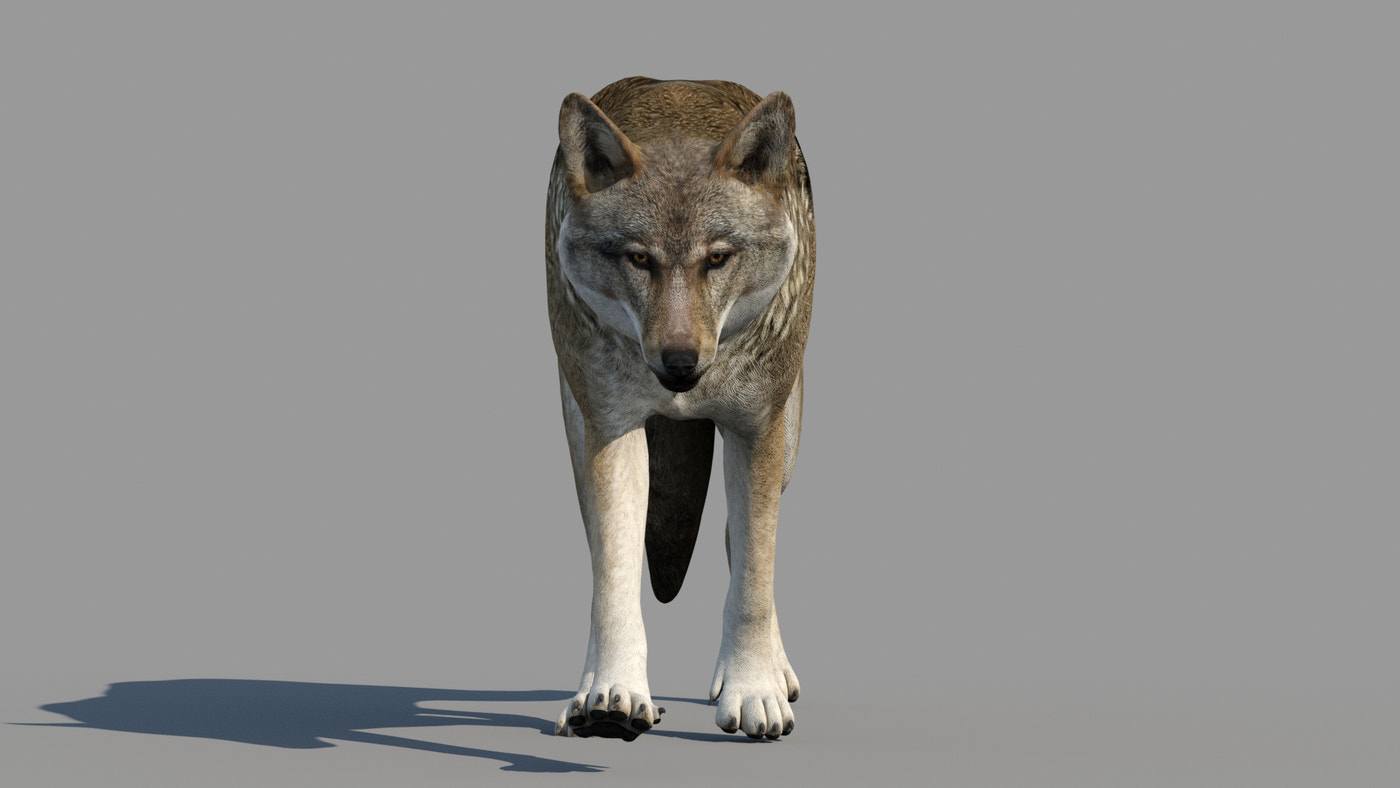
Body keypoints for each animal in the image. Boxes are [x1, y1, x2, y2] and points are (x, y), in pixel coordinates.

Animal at [546, 77, 815, 741]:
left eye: (717, 258)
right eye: (639, 259)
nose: (679, 363)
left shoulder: (757, 428)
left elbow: (754, 571)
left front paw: (754, 691)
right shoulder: (612, 426)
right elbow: (614, 573)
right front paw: (612, 694)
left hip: (789, 436)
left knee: (739, 541)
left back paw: (776, 672)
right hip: (576, 424)